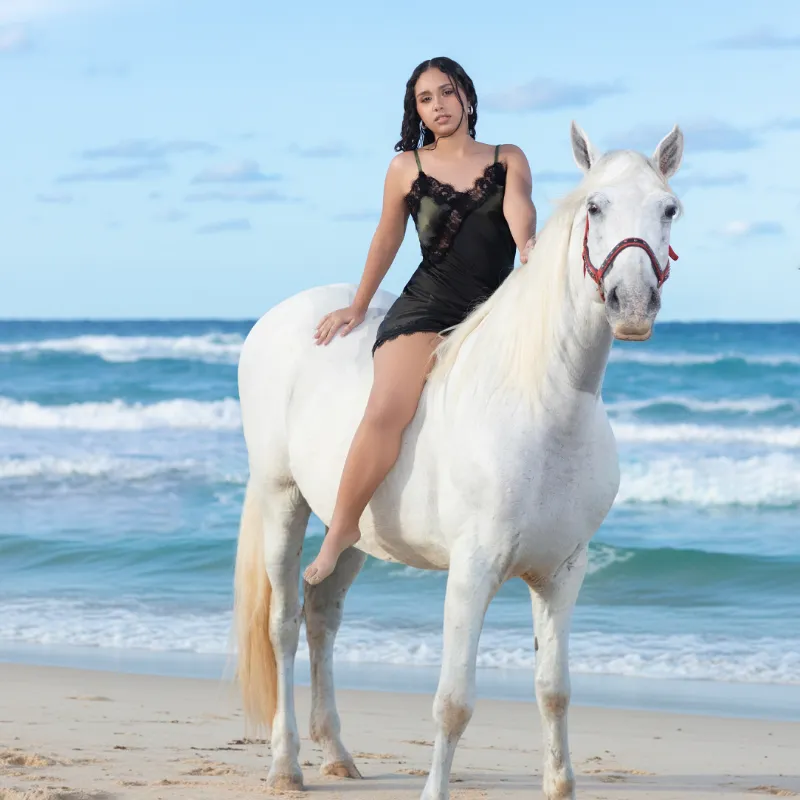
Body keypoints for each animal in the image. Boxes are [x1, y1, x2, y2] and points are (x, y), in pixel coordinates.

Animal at [233, 121, 684, 799]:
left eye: (668, 209)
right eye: (595, 207)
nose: (631, 303)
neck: (540, 404)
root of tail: (283, 317)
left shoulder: (563, 573)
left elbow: (554, 691)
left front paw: (560, 784)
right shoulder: (473, 571)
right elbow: (453, 702)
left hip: (354, 532)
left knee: (322, 618)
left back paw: (337, 753)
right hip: (281, 498)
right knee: (284, 623)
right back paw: (285, 766)